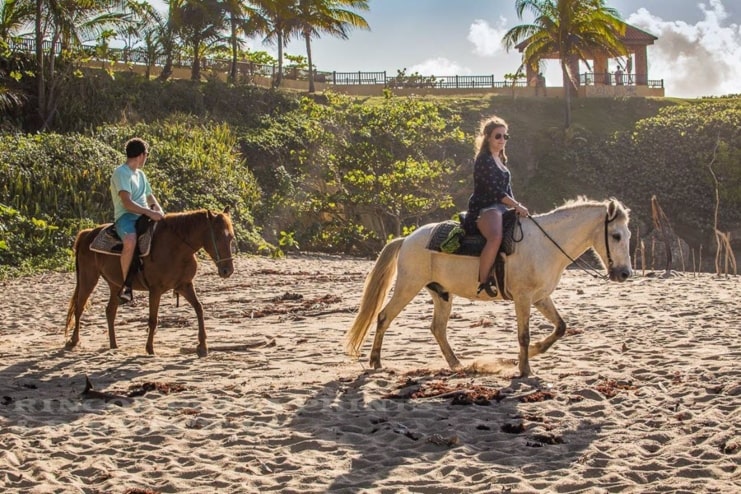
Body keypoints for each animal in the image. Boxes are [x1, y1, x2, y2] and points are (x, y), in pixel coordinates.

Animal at [66, 207, 236, 356]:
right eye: (218, 237)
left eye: (231, 238)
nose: (227, 271)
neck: (177, 248)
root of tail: (87, 233)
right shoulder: (155, 290)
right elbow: (153, 319)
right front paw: (150, 348)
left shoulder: (184, 285)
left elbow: (199, 308)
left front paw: (202, 346)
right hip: (88, 278)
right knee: (80, 307)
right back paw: (73, 341)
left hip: (115, 285)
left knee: (110, 311)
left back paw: (113, 345)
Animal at [346, 195, 632, 376]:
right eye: (616, 235)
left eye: (628, 235)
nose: (625, 273)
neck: (546, 244)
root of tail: (406, 239)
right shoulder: (523, 298)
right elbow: (524, 335)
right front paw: (524, 369)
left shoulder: (541, 297)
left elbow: (560, 327)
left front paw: (532, 353)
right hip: (408, 286)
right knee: (384, 316)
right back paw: (376, 361)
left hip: (442, 294)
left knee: (438, 328)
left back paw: (456, 364)